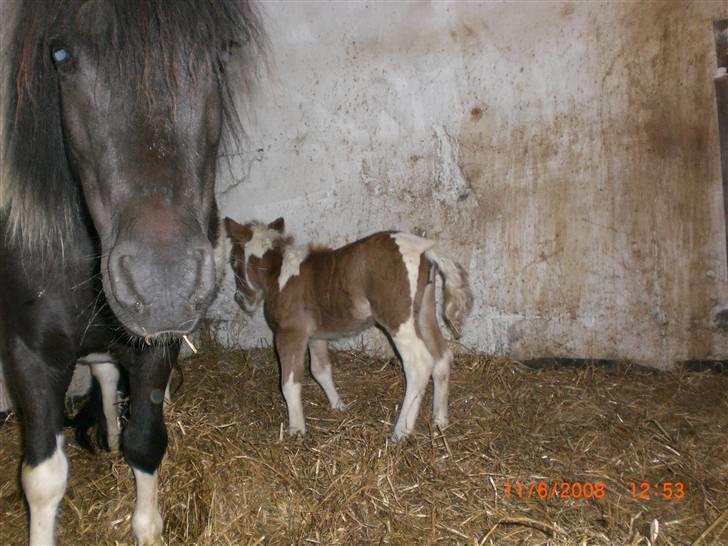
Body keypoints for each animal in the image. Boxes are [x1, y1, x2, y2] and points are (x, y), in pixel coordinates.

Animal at [1, 2, 264, 540]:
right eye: (61, 55)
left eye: (222, 53)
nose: (164, 286)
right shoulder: (27, 354)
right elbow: (42, 478)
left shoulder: (156, 348)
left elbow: (144, 442)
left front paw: (147, 528)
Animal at [225, 217, 472, 442]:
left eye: (233, 260)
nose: (240, 298)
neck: (278, 274)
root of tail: (423, 248)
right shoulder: (315, 336)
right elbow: (321, 370)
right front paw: (339, 407)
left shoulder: (289, 333)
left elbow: (289, 382)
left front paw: (296, 431)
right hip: (423, 313)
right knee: (442, 356)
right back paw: (440, 421)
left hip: (398, 320)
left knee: (419, 363)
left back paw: (400, 432)